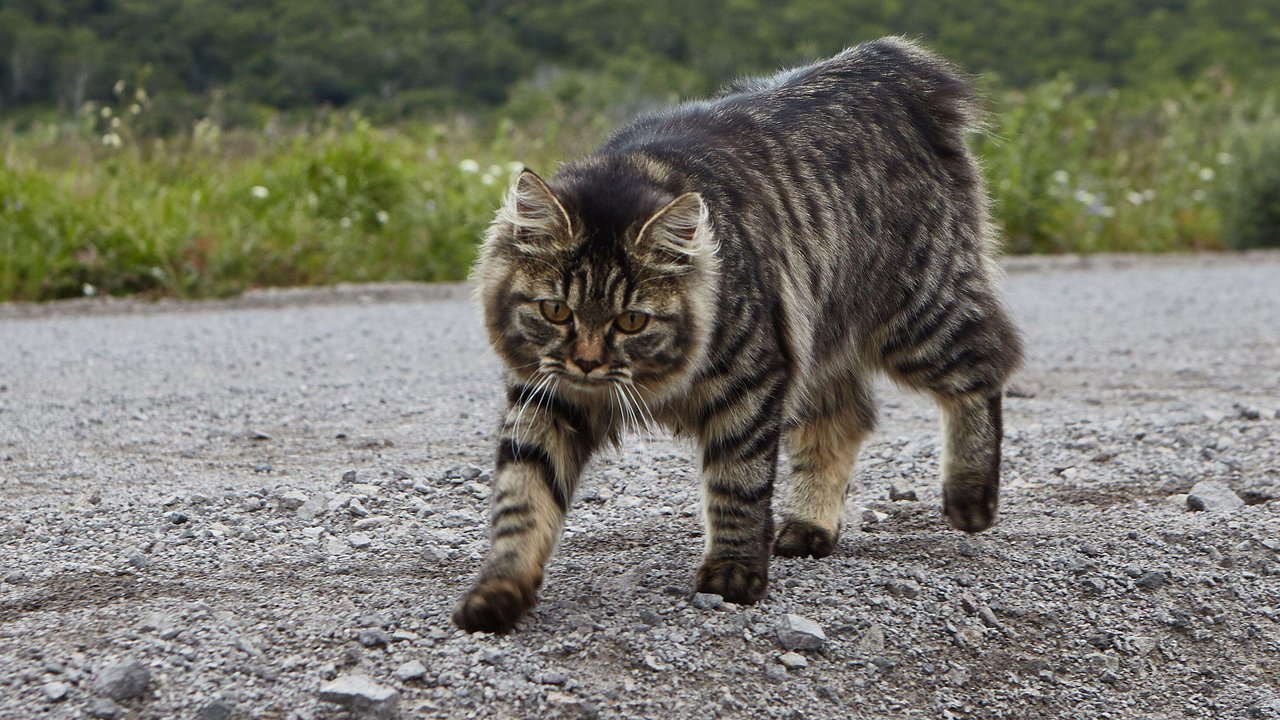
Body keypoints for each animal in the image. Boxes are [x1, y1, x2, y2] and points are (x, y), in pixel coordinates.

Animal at [455, 36, 1024, 630]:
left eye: (631, 320)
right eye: (556, 312)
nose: (587, 361)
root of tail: (883, 62)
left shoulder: (749, 383)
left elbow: (738, 487)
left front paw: (733, 574)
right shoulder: (546, 400)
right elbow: (522, 502)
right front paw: (498, 592)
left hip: (918, 317)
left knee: (987, 365)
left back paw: (970, 498)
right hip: (822, 344)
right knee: (844, 421)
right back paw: (809, 527)